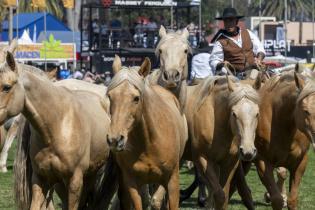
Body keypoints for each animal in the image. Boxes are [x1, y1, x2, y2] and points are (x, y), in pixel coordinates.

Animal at [107, 56, 189, 210]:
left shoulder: (172, 180)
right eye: (110, 96)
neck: (149, 141)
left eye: (136, 98)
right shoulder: (132, 183)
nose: (114, 140)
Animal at [186, 76, 260, 210]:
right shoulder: (202, 159)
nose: (248, 151)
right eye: (234, 114)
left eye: (257, 113)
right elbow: (220, 195)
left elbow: (224, 196)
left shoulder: (229, 163)